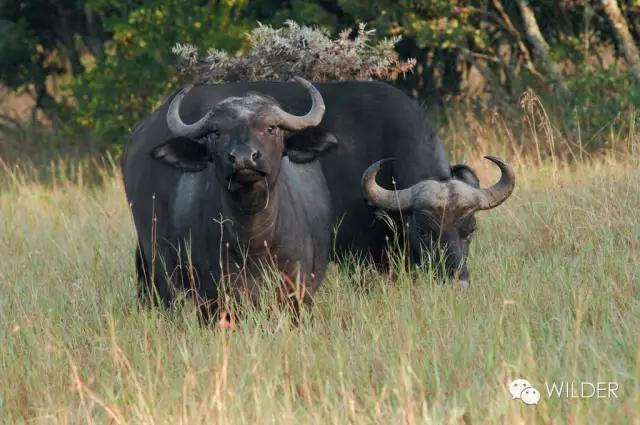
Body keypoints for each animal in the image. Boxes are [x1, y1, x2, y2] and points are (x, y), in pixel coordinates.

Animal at [122, 76, 338, 316]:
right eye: (217, 132)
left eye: (271, 128)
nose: (243, 158)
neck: (252, 242)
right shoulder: (210, 298)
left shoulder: (298, 293)